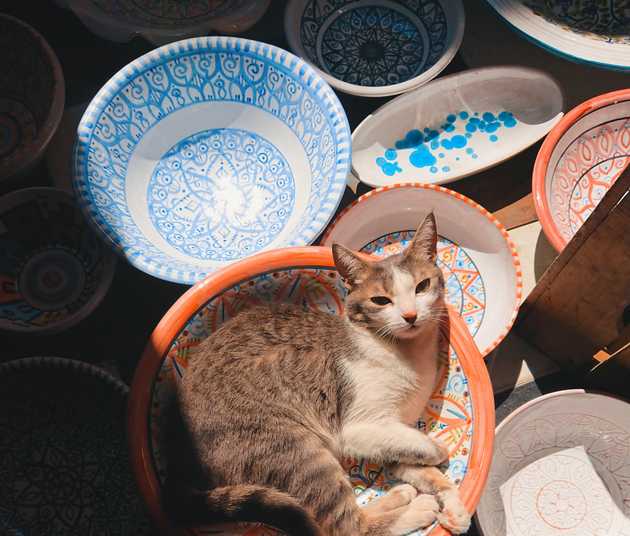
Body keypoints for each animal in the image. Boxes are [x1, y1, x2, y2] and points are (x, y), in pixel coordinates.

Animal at [168, 214, 474, 536]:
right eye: (381, 300)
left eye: (422, 286)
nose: (410, 316)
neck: (406, 354)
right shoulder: (361, 428)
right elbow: (424, 446)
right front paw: (440, 450)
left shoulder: (391, 436)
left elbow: (418, 466)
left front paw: (454, 506)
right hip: (298, 451)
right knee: (348, 526)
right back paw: (415, 508)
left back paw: (402, 495)